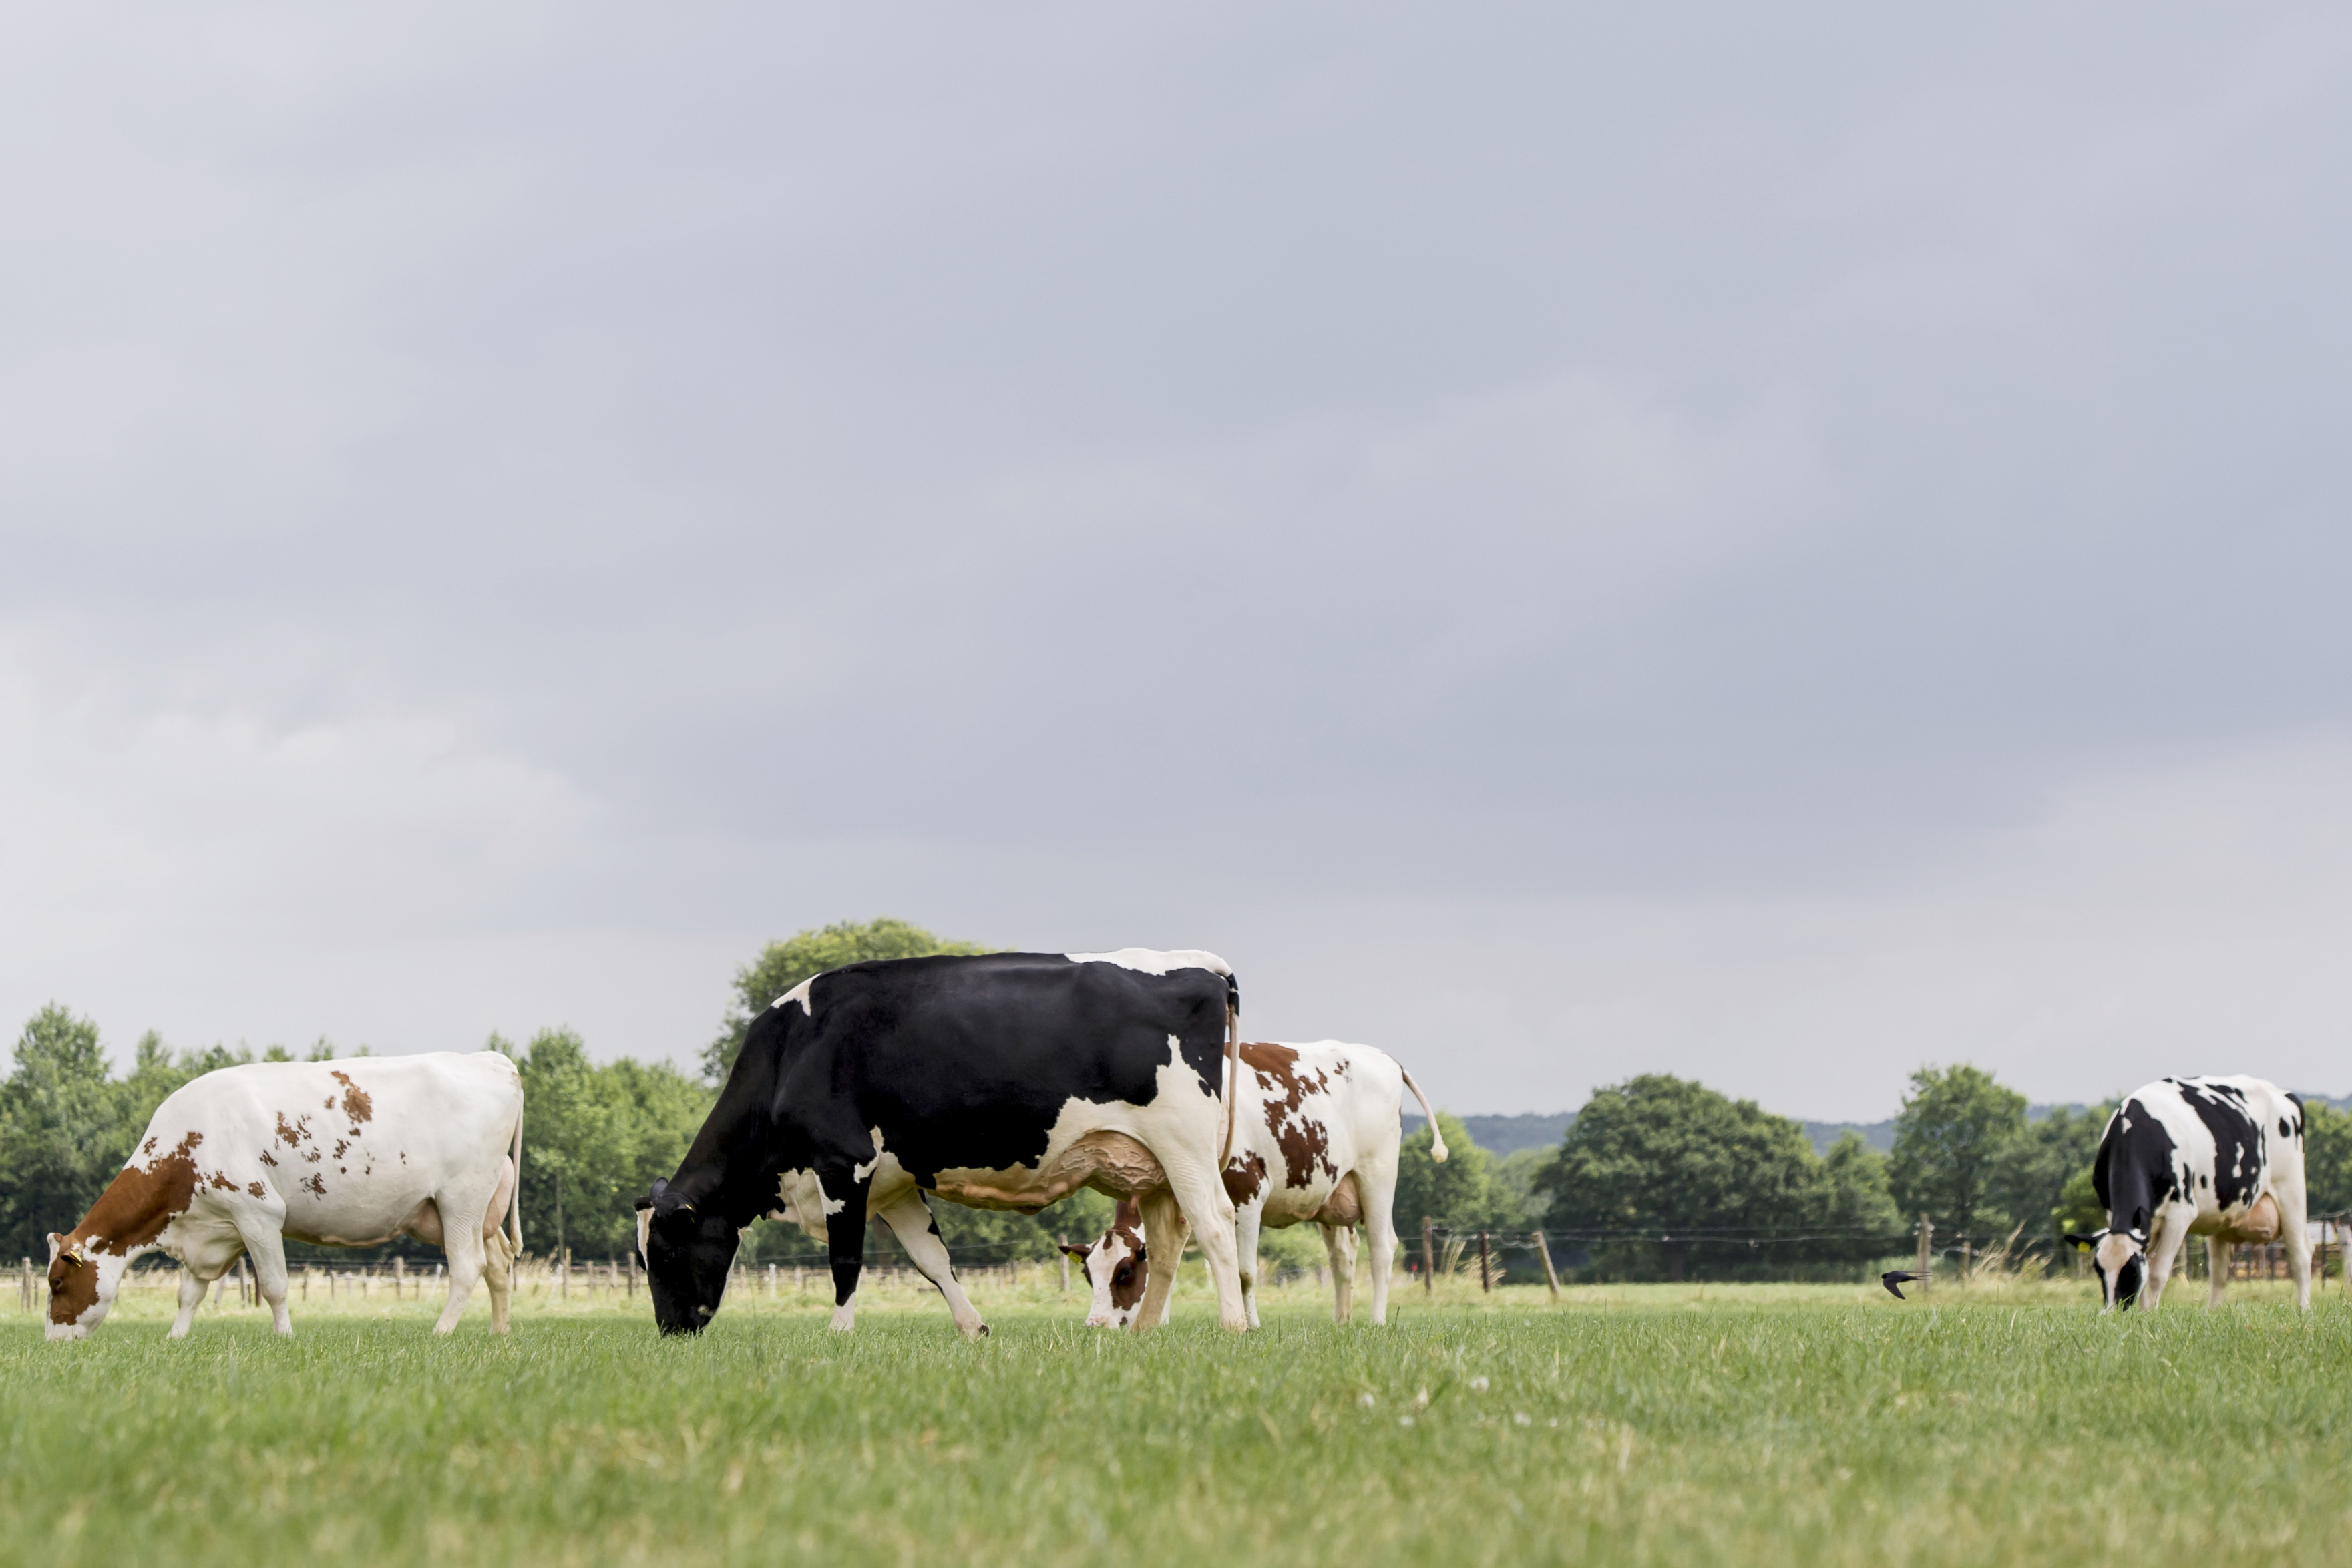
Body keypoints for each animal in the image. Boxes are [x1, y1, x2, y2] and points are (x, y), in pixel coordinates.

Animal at [42, 1048, 524, 1344]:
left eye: (57, 1283)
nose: (52, 1343)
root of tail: (491, 1059)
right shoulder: (213, 1226)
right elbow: (190, 1292)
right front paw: (175, 1338)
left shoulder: (258, 1214)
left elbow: (274, 1287)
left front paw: (285, 1338)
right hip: (471, 1214)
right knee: (498, 1265)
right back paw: (499, 1333)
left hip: (461, 1200)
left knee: (468, 1268)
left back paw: (441, 1332)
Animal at [625, 950, 1251, 1335]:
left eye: (666, 1253)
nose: (669, 1329)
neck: (792, 1052)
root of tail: (1203, 965)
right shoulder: (896, 1185)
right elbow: (933, 1260)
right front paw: (974, 1327)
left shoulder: (843, 1164)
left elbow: (845, 1260)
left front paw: (838, 1333)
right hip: (1155, 1168)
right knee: (1167, 1244)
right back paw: (1146, 1331)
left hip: (1183, 1146)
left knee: (1215, 1224)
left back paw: (1233, 1325)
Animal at [1062, 1048, 1430, 1335]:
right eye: (1088, 1275)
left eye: (1124, 1273)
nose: (1095, 1324)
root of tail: (1381, 1056)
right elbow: (1170, 1264)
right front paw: (1159, 1322)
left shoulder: (1249, 1195)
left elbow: (1245, 1272)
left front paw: (1249, 1325)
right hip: (1331, 1195)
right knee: (1343, 1256)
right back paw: (1342, 1319)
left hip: (1377, 1177)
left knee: (1382, 1249)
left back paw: (1377, 1320)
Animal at [2070, 1081, 2305, 1316]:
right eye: (2098, 1270)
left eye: (2132, 1272)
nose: (2110, 1313)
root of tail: (2282, 1092)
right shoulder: (2119, 1216)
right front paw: (2143, 1314)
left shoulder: (2180, 1216)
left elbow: (2157, 1273)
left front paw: (2151, 1315)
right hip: (2222, 1216)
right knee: (2219, 1272)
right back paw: (2213, 1313)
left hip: (2291, 1193)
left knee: (2300, 1256)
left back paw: (2304, 1309)